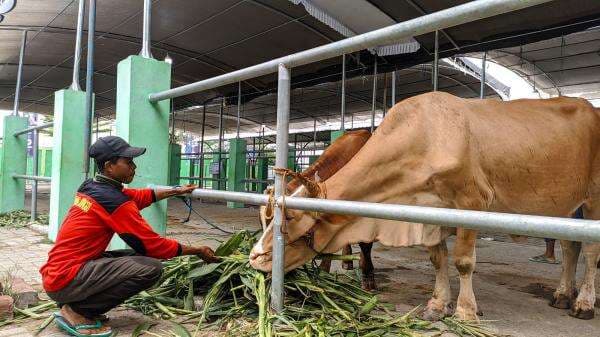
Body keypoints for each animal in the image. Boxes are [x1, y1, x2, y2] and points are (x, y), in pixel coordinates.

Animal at [258, 129, 378, 288]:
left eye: (289, 219)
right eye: (261, 224)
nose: (264, 269)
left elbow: (366, 245)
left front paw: (368, 278)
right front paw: (323, 270)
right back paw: (346, 261)